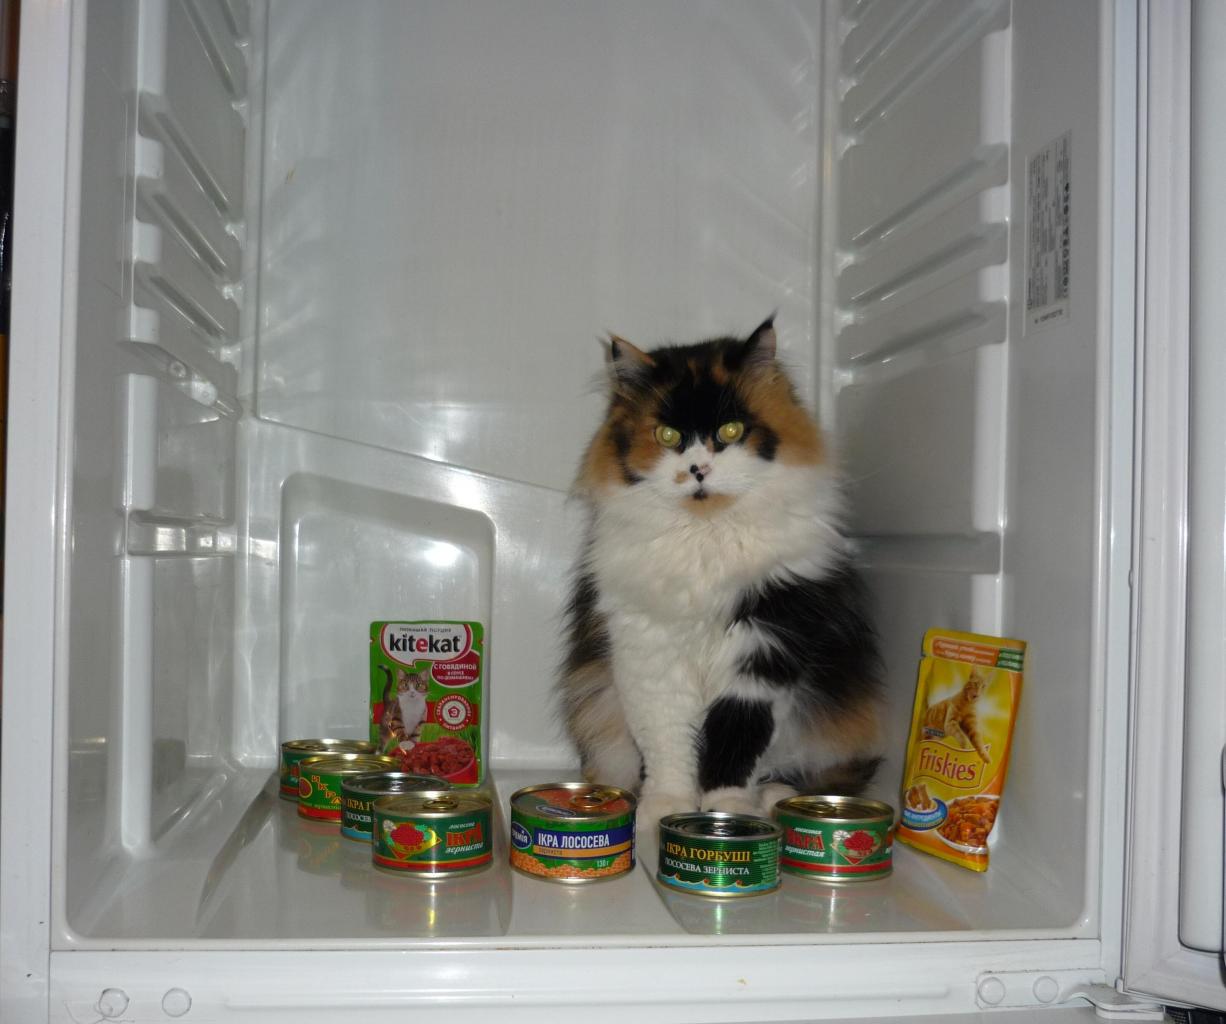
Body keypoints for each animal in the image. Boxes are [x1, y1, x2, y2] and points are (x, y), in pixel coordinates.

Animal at [556, 317, 884, 829]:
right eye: (667, 436)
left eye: (730, 430)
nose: (698, 469)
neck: (705, 536)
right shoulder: (650, 654)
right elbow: (669, 743)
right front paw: (665, 807)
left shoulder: (763, 648)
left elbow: (736, 740)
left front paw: (726, 813)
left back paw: (776, 799)